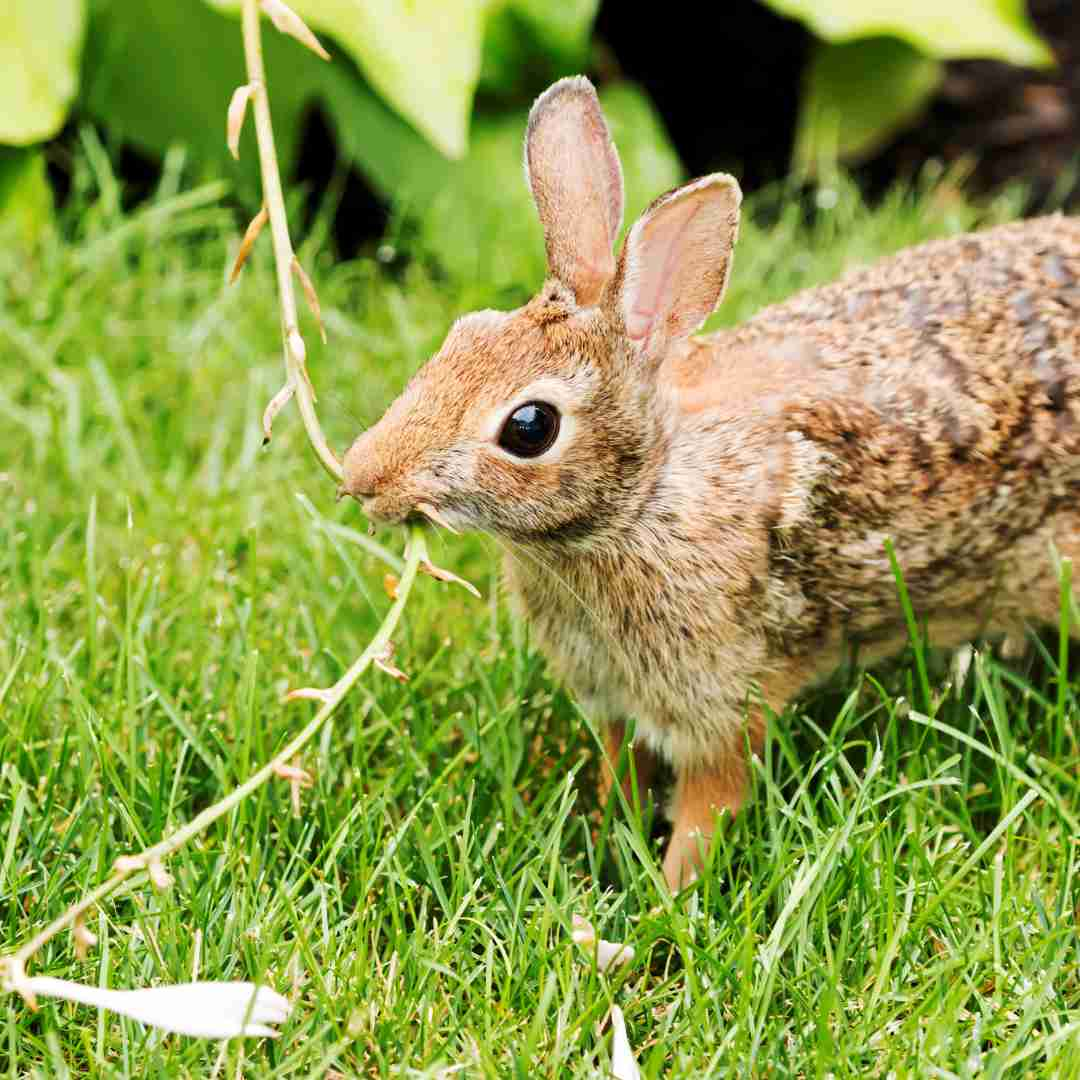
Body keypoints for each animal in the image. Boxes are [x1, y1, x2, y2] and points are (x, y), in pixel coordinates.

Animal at [343, 73, 1080, 885]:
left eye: (529, 428)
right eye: (463, 334)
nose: (362, 477)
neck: (643, 500)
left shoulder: (725, 703)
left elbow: (708, 809)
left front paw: (662, 900)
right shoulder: (615, 701)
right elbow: (620, 772)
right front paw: (604, 851)